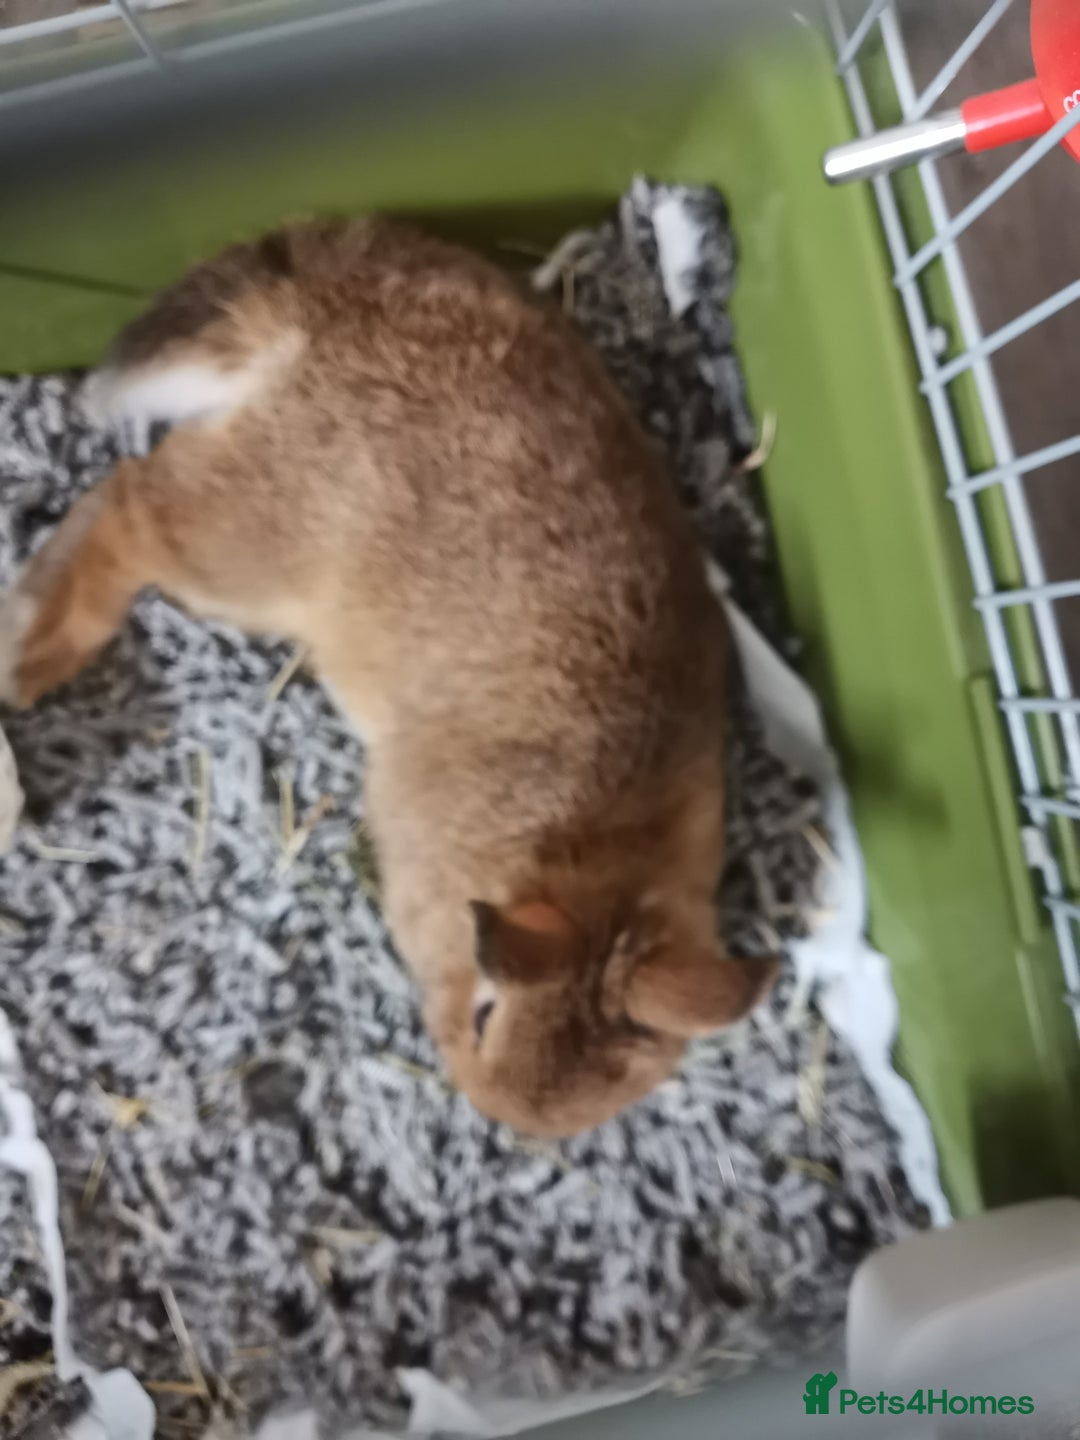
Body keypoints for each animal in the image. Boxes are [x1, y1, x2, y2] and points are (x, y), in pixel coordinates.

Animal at [0, 217, 778, 1137]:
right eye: (484, 1015)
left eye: (626, 1084)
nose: (501, 1114)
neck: (598, 860)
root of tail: (309, 310)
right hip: (247, 552)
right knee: (130, 505)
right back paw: (33, 654)